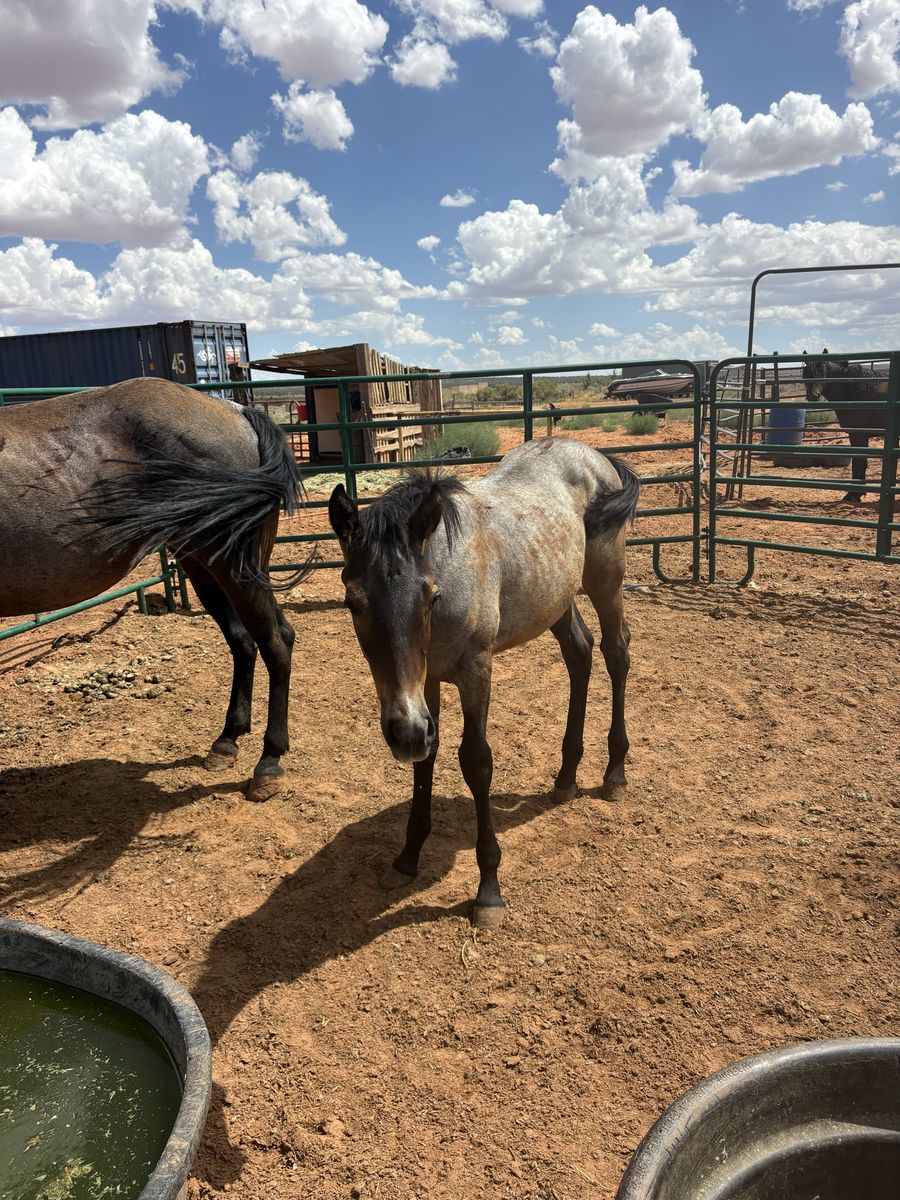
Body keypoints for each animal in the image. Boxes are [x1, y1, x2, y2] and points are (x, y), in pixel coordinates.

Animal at [0, 377, 306, 801]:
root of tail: (237, 411)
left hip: (232, 564)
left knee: (276, 640)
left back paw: (269, 763)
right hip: (200, 560)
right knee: (243, 640)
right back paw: (227, 741)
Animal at [328, 436, 640, 930]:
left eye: (429, 595)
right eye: (352, 602)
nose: (404, 732)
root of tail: (594, 456)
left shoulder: (475, 670)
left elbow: (476, 763)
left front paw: (488, 890)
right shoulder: (425, 686)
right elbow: (426, 761)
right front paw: (407, 859)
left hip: (605, 582)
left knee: (616, 652)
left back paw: (614, 773)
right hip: (556, 598)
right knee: (580, 653)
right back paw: (566, 777)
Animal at [801, 351, 887, 503]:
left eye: (821, 370)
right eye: (807, 372)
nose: (813, 395)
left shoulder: (858, 435)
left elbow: (859, 463)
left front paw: (854, 494)